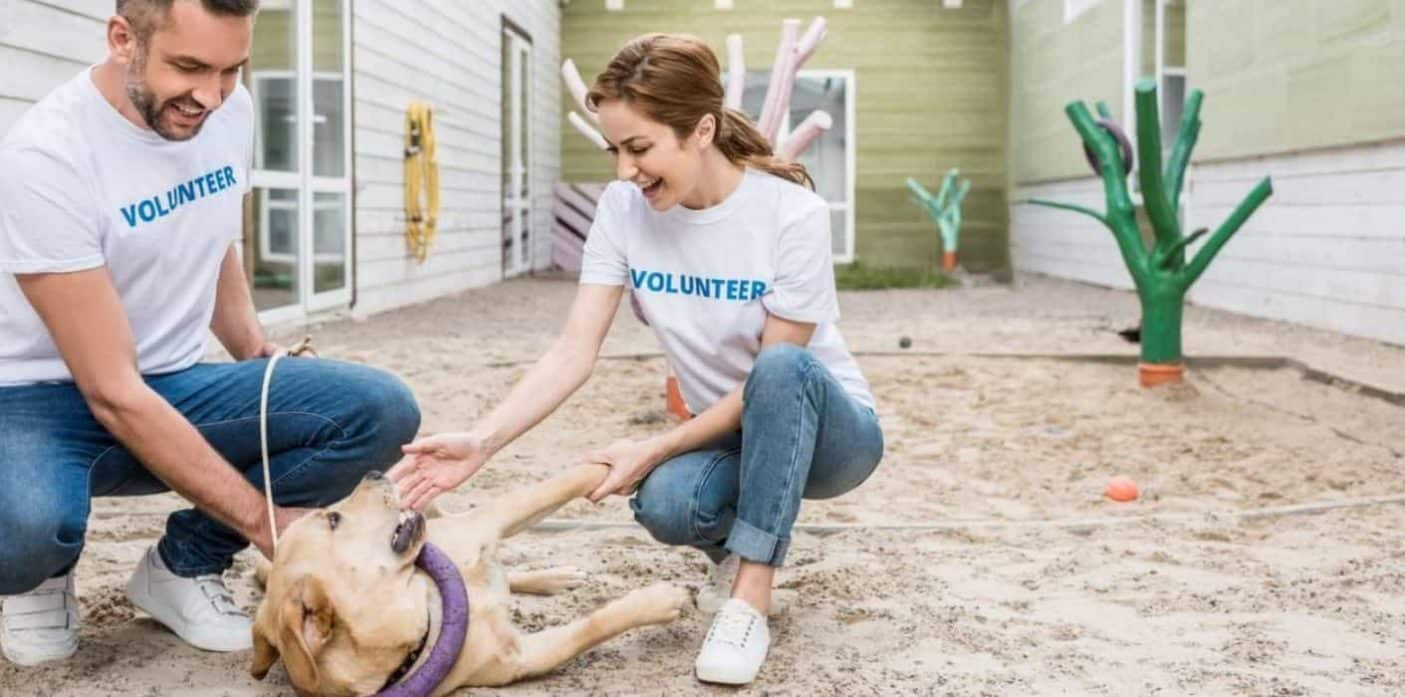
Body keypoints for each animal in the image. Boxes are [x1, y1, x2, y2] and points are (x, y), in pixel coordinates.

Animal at [252, 463, 691, 697]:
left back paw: (555, 576)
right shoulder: (523, 657)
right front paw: (661, 598)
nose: (375, 472)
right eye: (333, 518)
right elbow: (594, 625)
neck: (428, 610)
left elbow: (563, 481)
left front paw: (623, 455)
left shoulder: (484, 520)